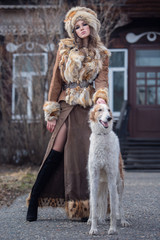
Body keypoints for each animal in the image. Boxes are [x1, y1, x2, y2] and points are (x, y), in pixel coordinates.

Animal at [87, 103, 129, 234]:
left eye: (109, 110)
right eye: (100, 110)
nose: (109, 118)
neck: (102, 135)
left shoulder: (111, 178)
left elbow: (113, 210)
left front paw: (112, 229)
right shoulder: (94, 178)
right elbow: (94, 206)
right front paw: (93, 229)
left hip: (119, 183)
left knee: (120, 204)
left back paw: (123, 221)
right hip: (94, 183)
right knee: (93, 203)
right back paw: (90, 219)